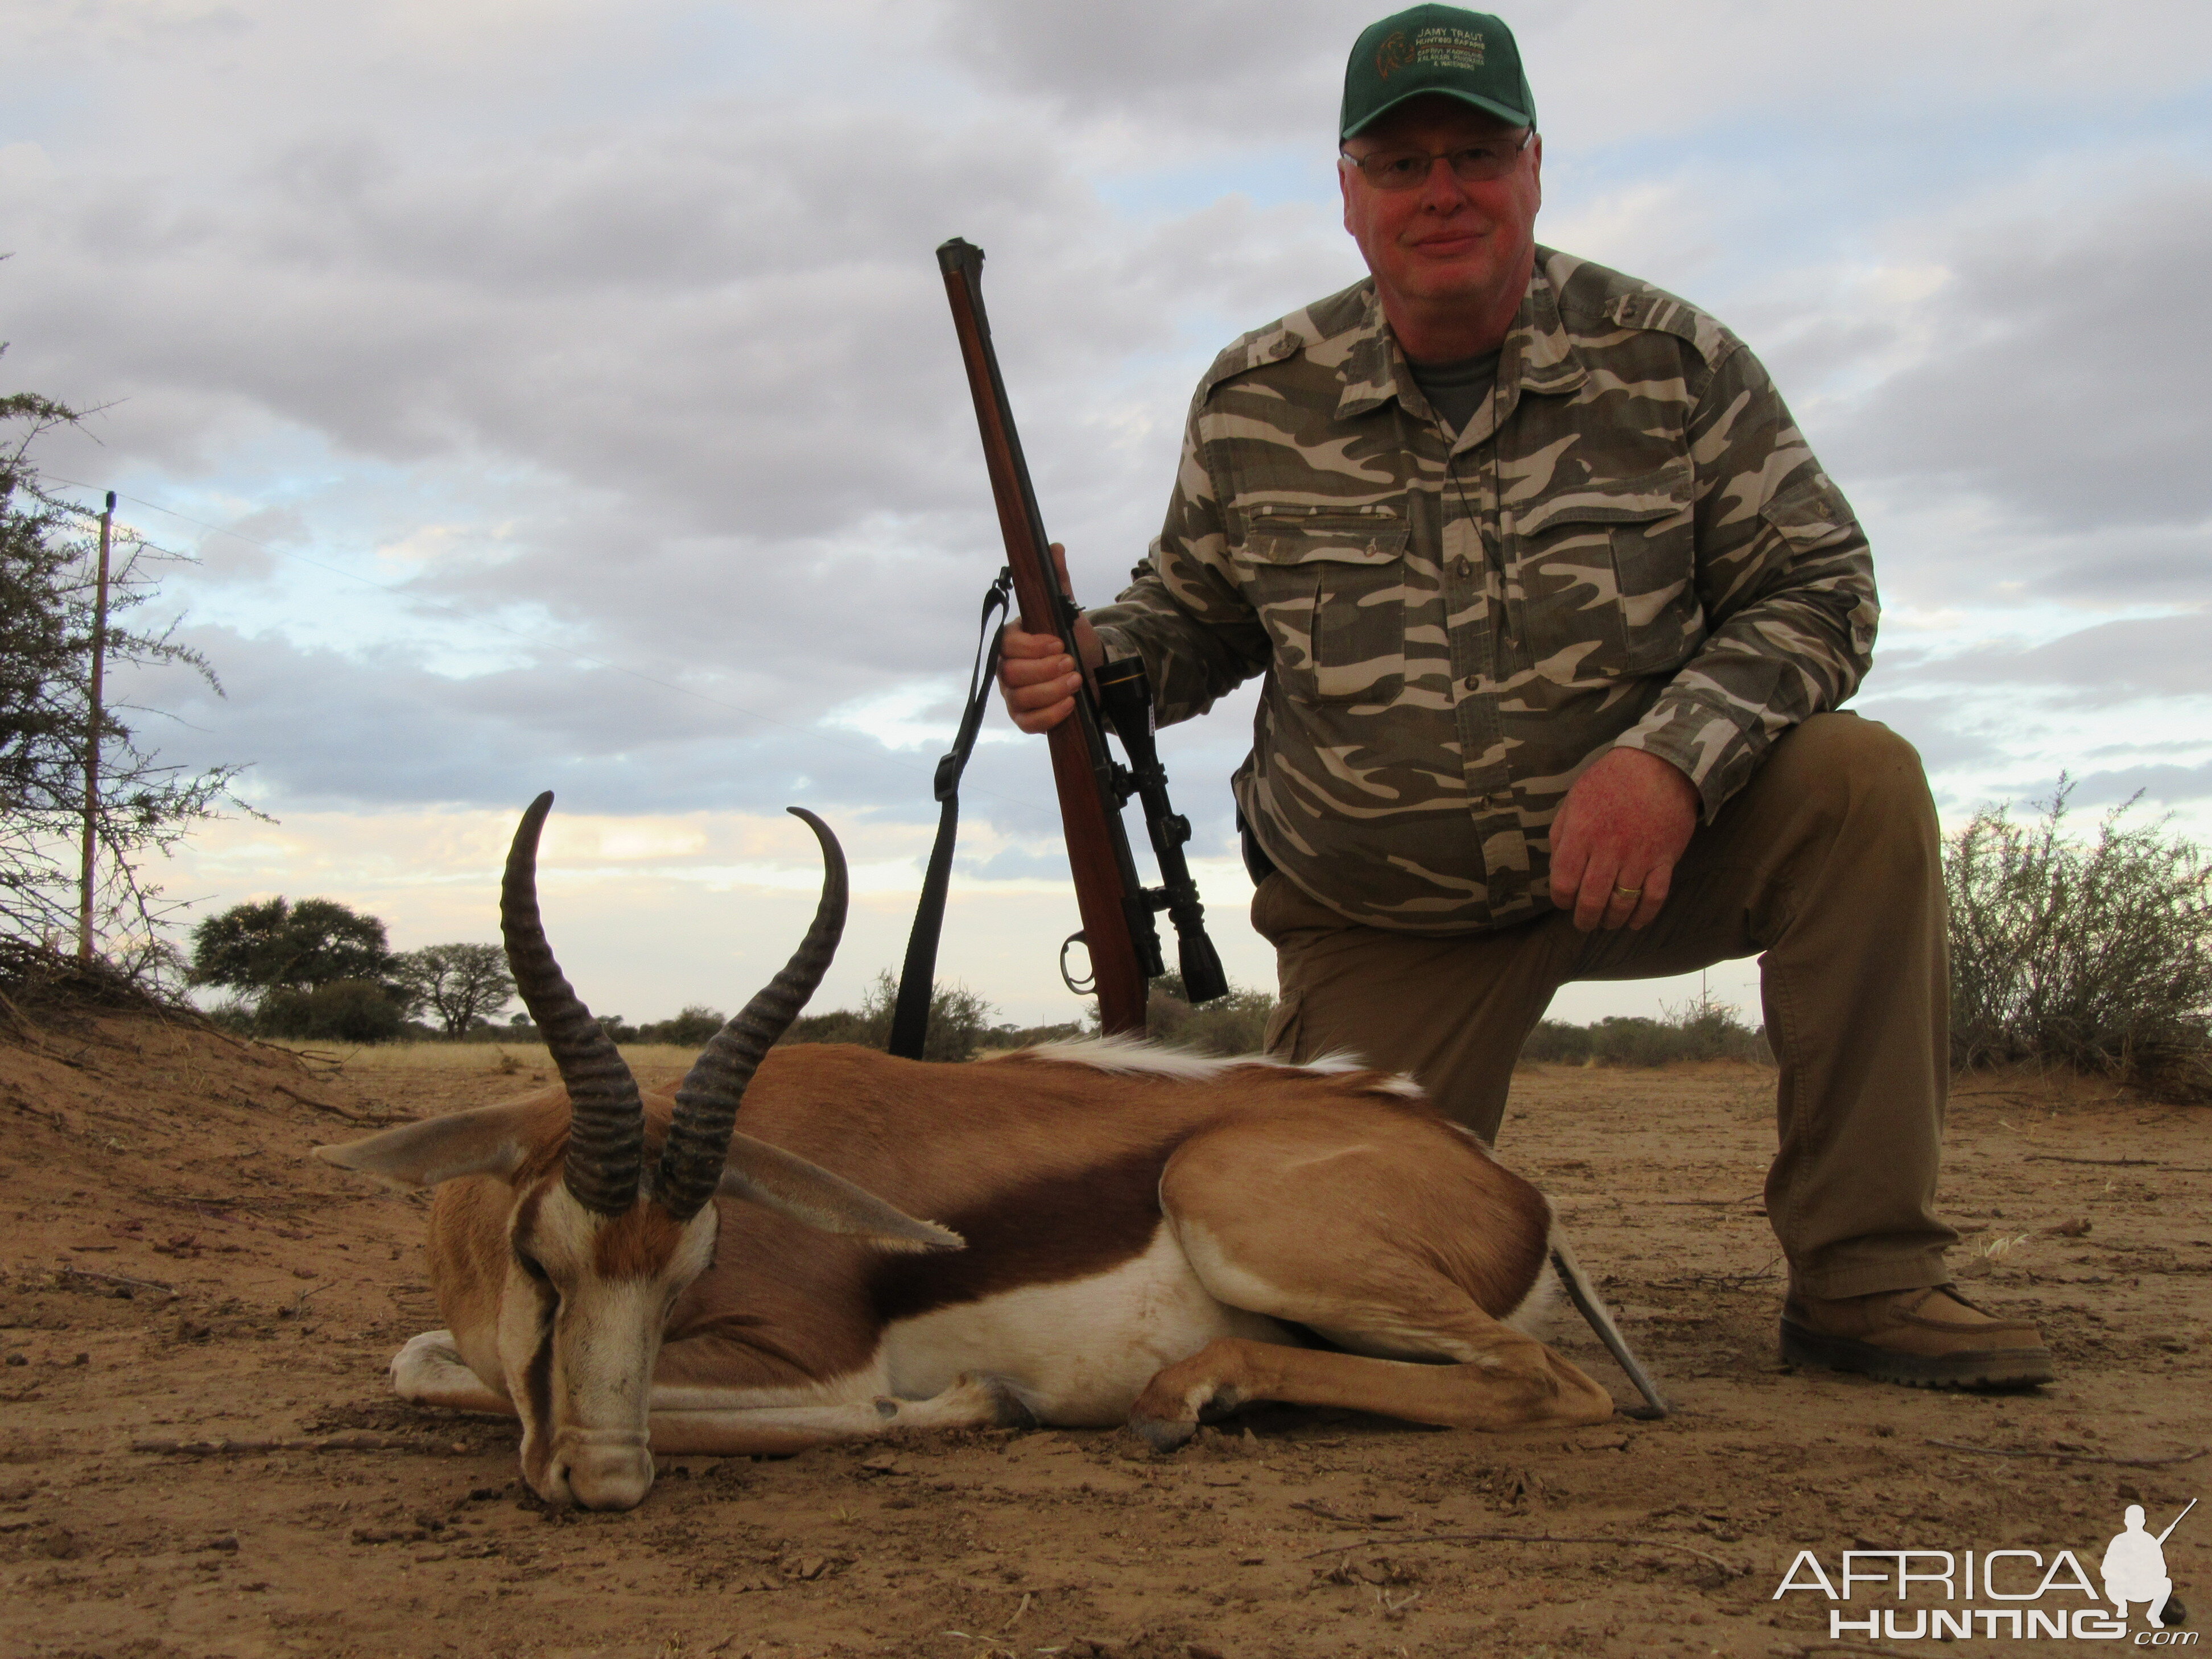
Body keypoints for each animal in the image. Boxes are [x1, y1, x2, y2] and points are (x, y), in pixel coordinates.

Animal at [312, 800, 1619, 1513]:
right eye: (542, 1263)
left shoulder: (807, 1363)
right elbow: (427, 1366)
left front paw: (973, 1402)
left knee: (1555, 1387)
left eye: (692, 1269)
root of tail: (1499, 1180)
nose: (600, 1480)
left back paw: (1176, 1399)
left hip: (1236, 1209)